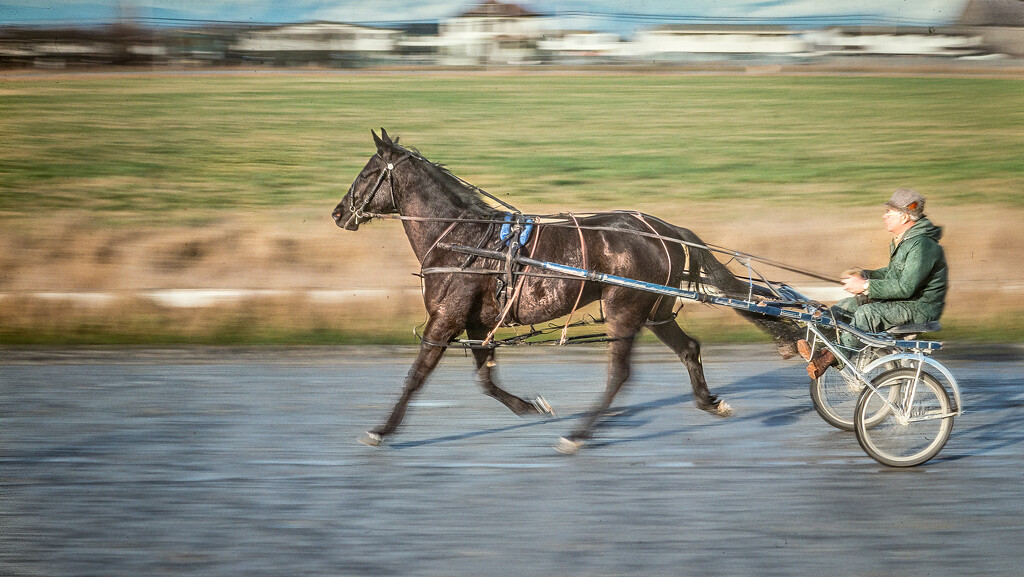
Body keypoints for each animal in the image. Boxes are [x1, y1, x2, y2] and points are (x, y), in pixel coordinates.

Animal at [333, 128, 798, 452]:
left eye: (367, 173)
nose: (338, 213)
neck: (462, 238)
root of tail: (664, 229)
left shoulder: (445, 318)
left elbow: (416, 376)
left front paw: (382, 430)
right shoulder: (475, 321)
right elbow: (484, 377)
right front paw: (530, 406)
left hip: (624, 308)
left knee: (620, 374)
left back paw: (579, 434)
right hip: (655, 310)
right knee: (689, 348)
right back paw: (708, 401)